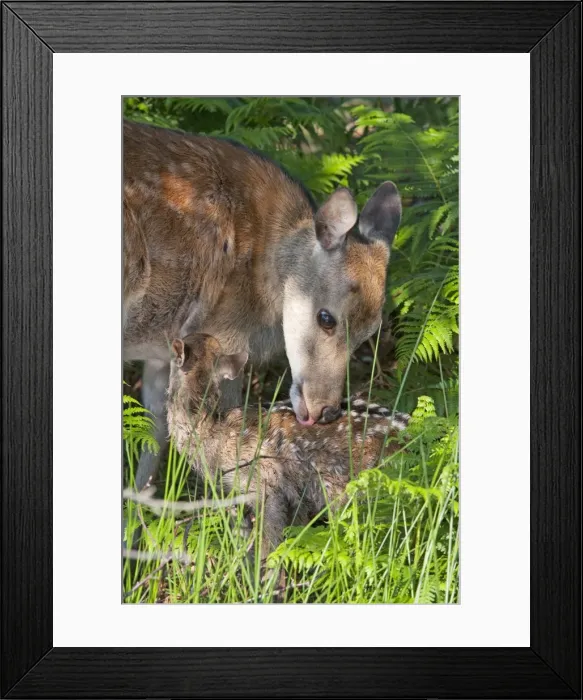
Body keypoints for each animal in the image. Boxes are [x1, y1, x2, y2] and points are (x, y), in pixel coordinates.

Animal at [124, 120, 402, 490]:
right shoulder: (221, 332)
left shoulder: (163, 349)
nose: (325, 411)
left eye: (370, 332)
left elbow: (153, 437)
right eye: (326, 317)